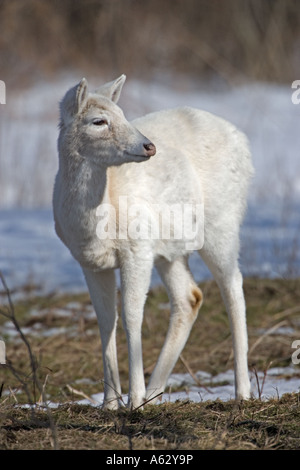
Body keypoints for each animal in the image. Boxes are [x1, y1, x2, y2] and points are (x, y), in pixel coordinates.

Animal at [53, 75, 253, 410]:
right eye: (99, 121)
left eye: (123, 114)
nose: (148, 146)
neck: (95, 223)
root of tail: (244, 142)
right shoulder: (89, 262)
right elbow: (106, 320)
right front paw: (109, 403)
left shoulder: (137, 249)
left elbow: (132, 316)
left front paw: (133, 399)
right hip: (170, 252)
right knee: (190, 297)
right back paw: (155, 393)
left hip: (221, 226)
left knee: (233, 288)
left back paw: (242, 392)